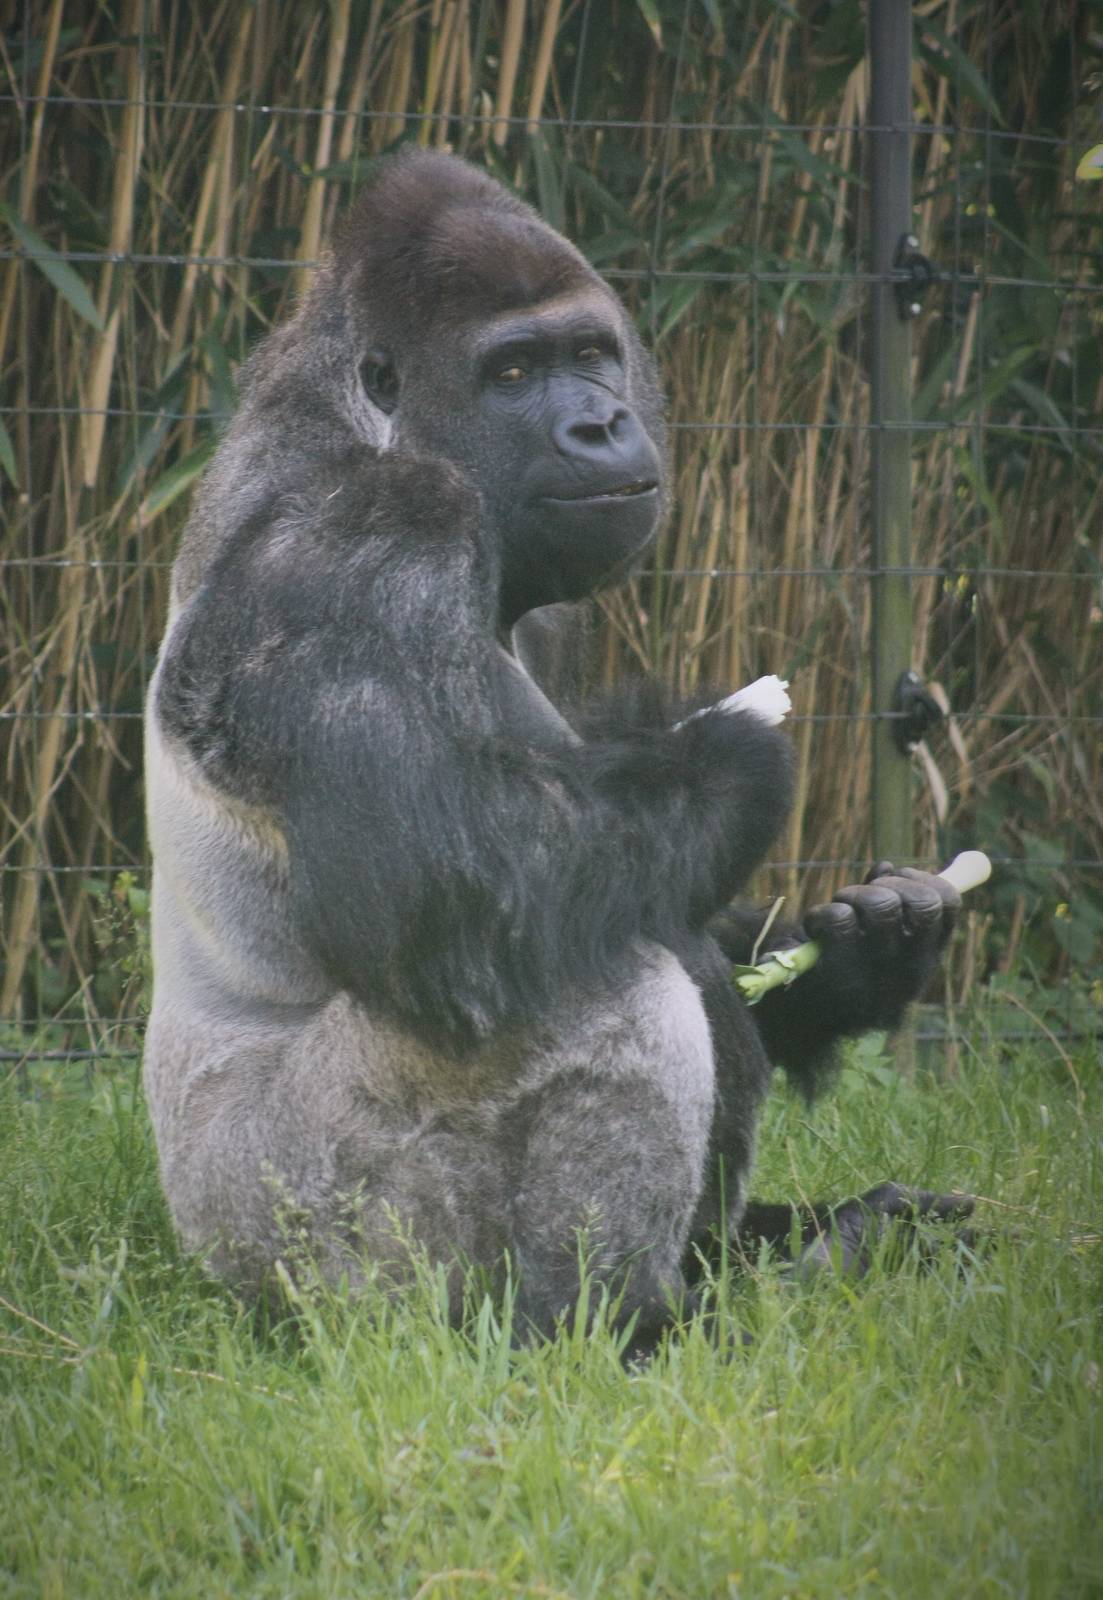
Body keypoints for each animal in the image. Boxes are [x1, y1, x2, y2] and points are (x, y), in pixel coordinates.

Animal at [144, 148, 965, 1351]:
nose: (598, 425)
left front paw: (870, 950)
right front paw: (727, 761)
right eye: (512, 370)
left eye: (589, 354)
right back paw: (618, 1326)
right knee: (590, 979)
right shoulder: (373, 529)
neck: (357, 417)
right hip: (316, 1261)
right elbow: (442, 896)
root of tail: (205, 1260)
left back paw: (831, 1241)